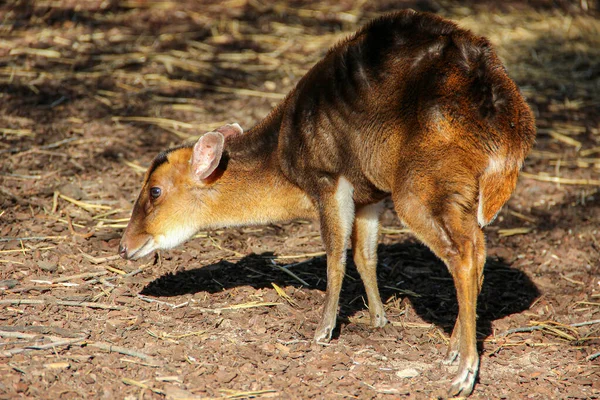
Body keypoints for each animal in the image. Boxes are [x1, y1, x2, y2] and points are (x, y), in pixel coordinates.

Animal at [117, 10, 536, 396]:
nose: (124, 246)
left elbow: (336, 257)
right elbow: (365, 255)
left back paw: (464, 372)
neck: (283, 158)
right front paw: (378, 319)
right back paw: (453, 350)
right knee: (478, 247)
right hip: (456, 194)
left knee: (462, 254)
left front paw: (322, 331)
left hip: (421, 186)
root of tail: (509, 126)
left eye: (154, 191)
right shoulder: (370, 196)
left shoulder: (328, 180)